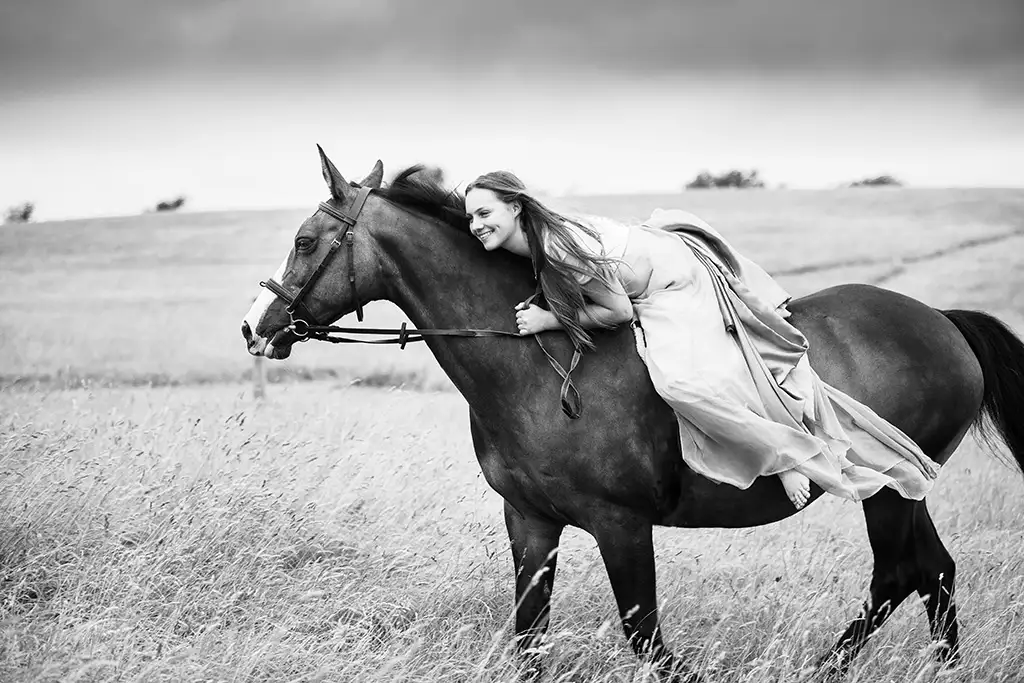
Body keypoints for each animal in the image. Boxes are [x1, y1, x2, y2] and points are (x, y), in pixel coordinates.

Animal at [241, 148, 1024, 679]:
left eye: (305, 241)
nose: (255, 326)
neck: (542, 367)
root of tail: (943, 322)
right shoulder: (531, 521)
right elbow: (530, 635)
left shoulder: (621, 525)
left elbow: (646, 636)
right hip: (905, 485)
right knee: (935, 572)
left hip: (889, 490)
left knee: (898, 574)